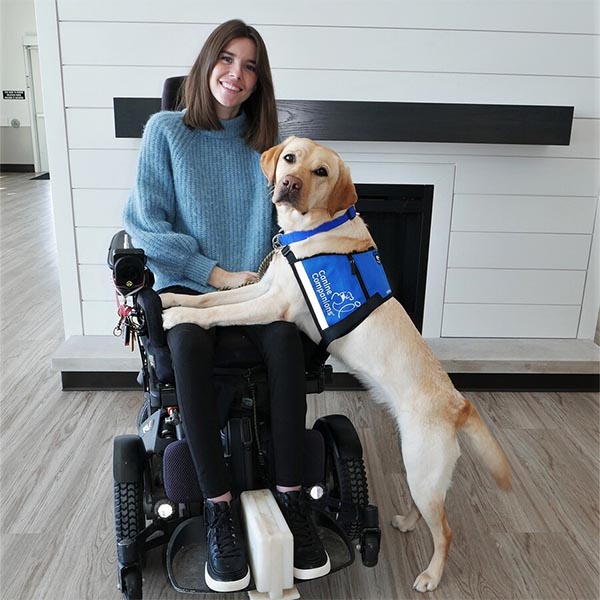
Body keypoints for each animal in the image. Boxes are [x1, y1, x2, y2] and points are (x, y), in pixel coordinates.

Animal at [163, 138, 510, 592]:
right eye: (290, 159)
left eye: (322, 172)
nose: (290, 184)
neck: (310, 231)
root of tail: (459, 403)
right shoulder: (261, 288)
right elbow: (211, 299)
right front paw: (170, 298)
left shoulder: (273, 306)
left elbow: (217, 314)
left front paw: (176, 317)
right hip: (418, 468)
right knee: (426, 511)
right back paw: (406, 522)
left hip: (423, 467)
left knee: (446, 531)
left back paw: (430, 576)